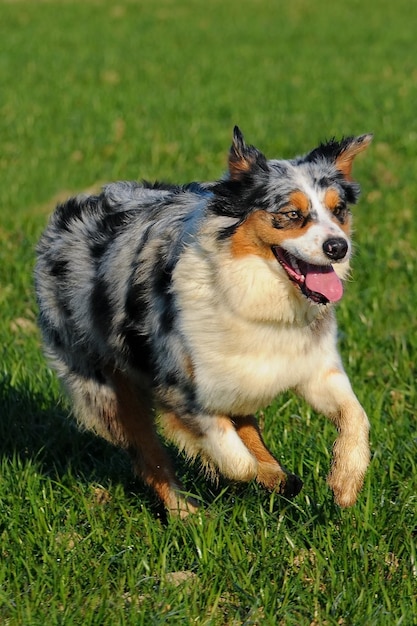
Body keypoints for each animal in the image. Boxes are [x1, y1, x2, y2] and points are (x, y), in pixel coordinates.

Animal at [35, 128, 372, 516]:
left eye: (338, 210)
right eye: (291, 213)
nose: (338, 247)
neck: (257, 297)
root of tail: (71, 209)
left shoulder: (313, 368)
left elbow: (356, 416)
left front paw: (344, 482)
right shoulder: (184, 389)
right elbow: (236, 462)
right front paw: (254, 473)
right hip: (106, 388)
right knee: (148, 455)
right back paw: (185, 514)